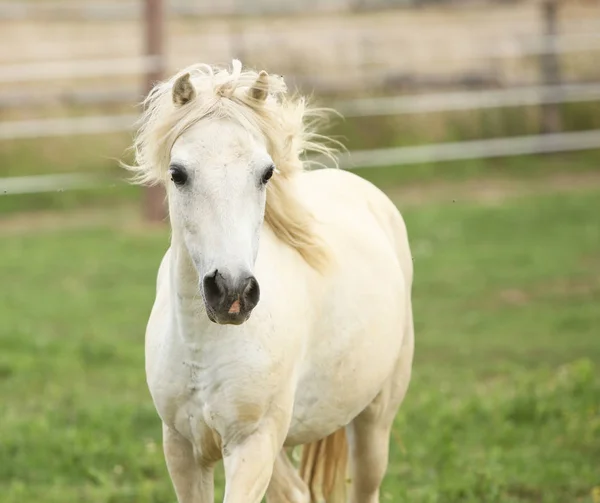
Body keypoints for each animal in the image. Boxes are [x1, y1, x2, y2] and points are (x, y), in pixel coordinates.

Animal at [125, 60, 418, 503]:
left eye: (265, 173)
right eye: (177, 174)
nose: (232, 292)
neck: (202, 347)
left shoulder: (253, 445)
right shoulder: (182, 449)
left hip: (373, 421)